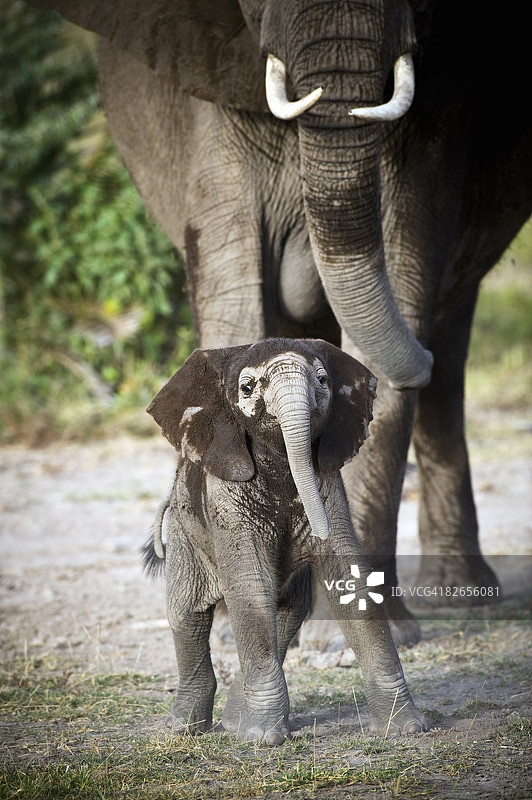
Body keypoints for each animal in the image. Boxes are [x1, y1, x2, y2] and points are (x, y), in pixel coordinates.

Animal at [28, 0, 532, 643]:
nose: (416, 361)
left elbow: (404, 278)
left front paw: (357, 623)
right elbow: (233, 297)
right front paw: (232, 616)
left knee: (448, 332)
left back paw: (458, 591)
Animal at [145, 337, 430, 743]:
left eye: (323, 381)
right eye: (247, 388)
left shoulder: (328, 482)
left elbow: (350, 577)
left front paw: (407, 728)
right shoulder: (227, 495)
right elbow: (250, 586)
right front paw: (264, 739)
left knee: (288, 610)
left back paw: (233, 723)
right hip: (184, 531)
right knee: (186, 614)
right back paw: (182, 729)